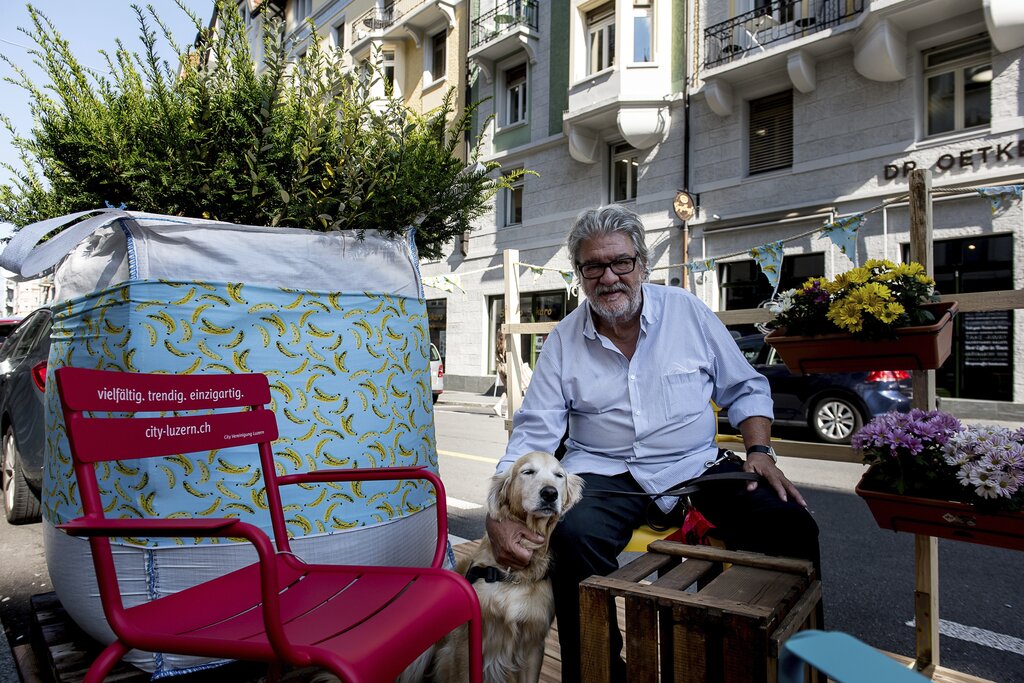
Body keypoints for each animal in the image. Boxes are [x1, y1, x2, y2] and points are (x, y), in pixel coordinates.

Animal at [428, 450, 581, 679]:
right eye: (528, 471)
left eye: (559, 475)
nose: (550, 494)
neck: (514, 573)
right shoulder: (467, 643)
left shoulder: (533, 644)